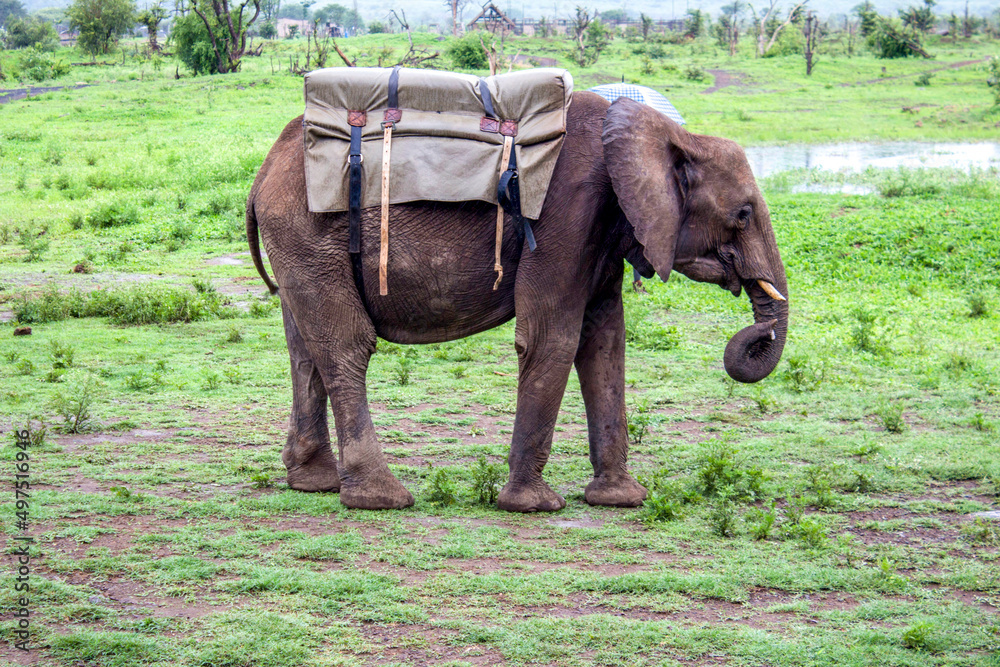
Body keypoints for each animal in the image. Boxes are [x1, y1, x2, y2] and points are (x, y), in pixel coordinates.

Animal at [245, 93, 788, 513]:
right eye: (742, 215)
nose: (755, 334)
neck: (666, 134)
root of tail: (263, 172)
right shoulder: (566, 210)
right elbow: (554, 337)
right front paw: (534, 506)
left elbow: (604, 343)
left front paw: (621, 499)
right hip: (309, 232)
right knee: (346, 345)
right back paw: (381, 498)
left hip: (301, 243)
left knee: (305, 348)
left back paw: (313, 483)